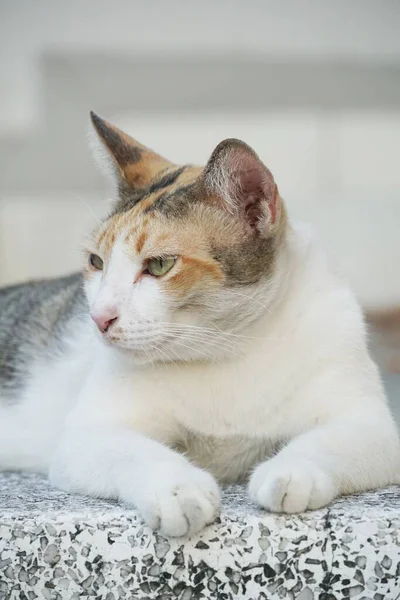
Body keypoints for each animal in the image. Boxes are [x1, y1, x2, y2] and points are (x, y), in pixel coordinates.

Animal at [0, 113, 398, 540]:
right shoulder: (85, 436)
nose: (99, 317)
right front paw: (178, 489)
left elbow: (330, 441)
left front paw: (292, 473)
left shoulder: (371, 424)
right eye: (96, 262)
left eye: (159, 265)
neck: (232, 347)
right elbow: (135, 451)